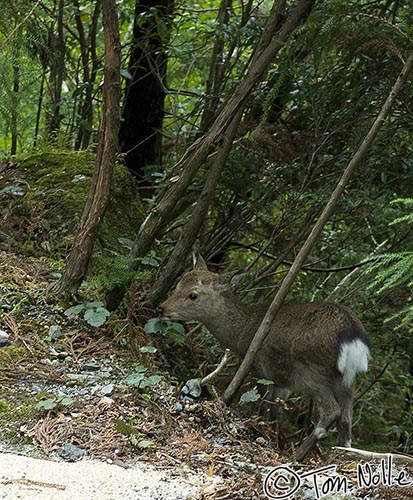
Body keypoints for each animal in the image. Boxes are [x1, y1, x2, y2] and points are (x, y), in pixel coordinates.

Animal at [157, 256, 370, 462]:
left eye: (193, 295)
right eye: (178, 284)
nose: (161, 308)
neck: (242, 332)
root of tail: (353, 338)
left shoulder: (261, 368)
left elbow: (263, 407)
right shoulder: (282, 381)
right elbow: (276, 412)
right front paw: (274, 439)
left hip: (311, 370)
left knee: (331, 411)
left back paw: (298, 455)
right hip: (347, 380)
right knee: (346, 420)